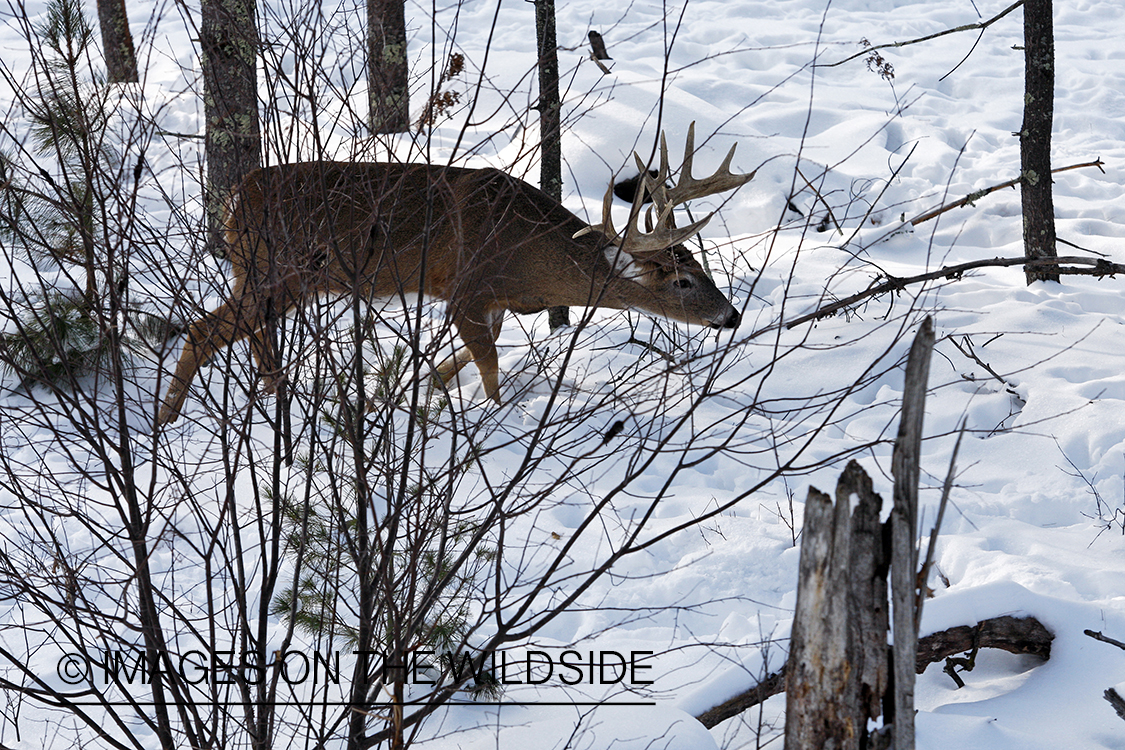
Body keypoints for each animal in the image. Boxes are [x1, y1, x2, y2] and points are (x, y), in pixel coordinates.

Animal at [156, 125, 756, 425]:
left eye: (700, 268)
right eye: (681, 282)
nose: (731, 316)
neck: (529, 263)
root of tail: (234, 199)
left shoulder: (488, 300)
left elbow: (470, 352)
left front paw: (415, 388)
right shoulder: (466, 288)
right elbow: (487, 362)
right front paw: (490, 416)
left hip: (267, 276)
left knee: (251, 333)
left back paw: (276, 399)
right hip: (277, 269)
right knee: (204, 330)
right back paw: (166, 420)